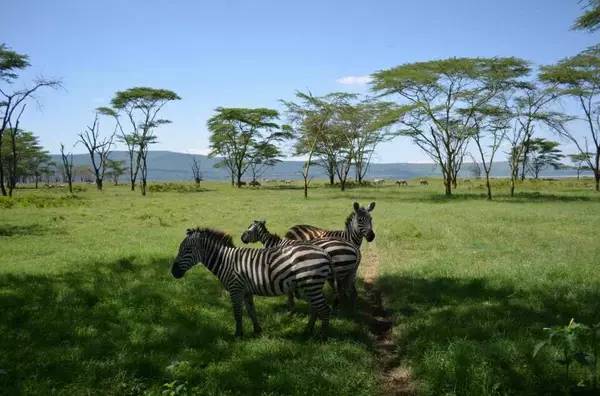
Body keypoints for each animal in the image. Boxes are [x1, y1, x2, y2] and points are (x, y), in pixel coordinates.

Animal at [171, 229, 336, 338]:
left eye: (187, 250)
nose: (173, 272)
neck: (226, 262)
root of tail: (324, 252)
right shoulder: (246, 291)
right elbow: (251, 311)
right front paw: (257, 330)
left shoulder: (235, 288)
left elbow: (237, 313)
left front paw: (238, 334)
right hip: (308, 286)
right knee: (315, 308)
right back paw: (308, 331)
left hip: (311, 284)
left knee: (325, 309)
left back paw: (322, 337)